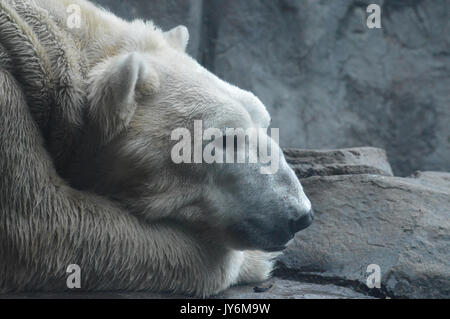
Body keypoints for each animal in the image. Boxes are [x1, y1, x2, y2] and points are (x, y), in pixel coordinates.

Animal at [0, 0, 312, 298]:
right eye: (227, 140)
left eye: (265, 122)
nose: (301, 216)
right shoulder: (7, 100)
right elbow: (44, 227)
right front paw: (255, 261)